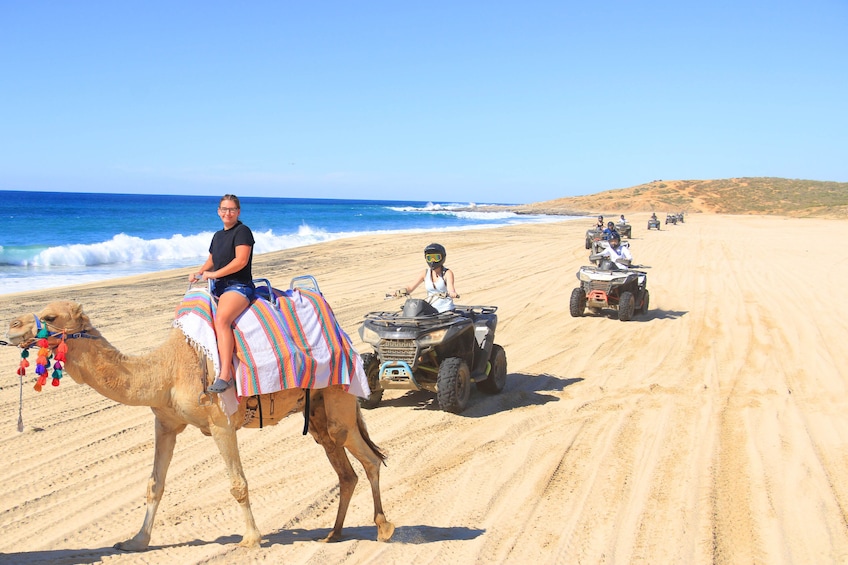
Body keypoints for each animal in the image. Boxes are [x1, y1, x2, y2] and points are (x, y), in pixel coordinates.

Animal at [4, 302, 396, 548]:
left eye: (50, 315)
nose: (12, 325)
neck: (165, 371)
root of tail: (345, 340)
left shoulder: (222, 423)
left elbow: (238, 484)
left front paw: (251, 539)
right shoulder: (165, 424)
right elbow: (155, 485)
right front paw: (136, 541)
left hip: (338, 400)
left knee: (368, 458)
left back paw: (383, 528)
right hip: (317, 415)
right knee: (345, 469)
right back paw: (333, 535)